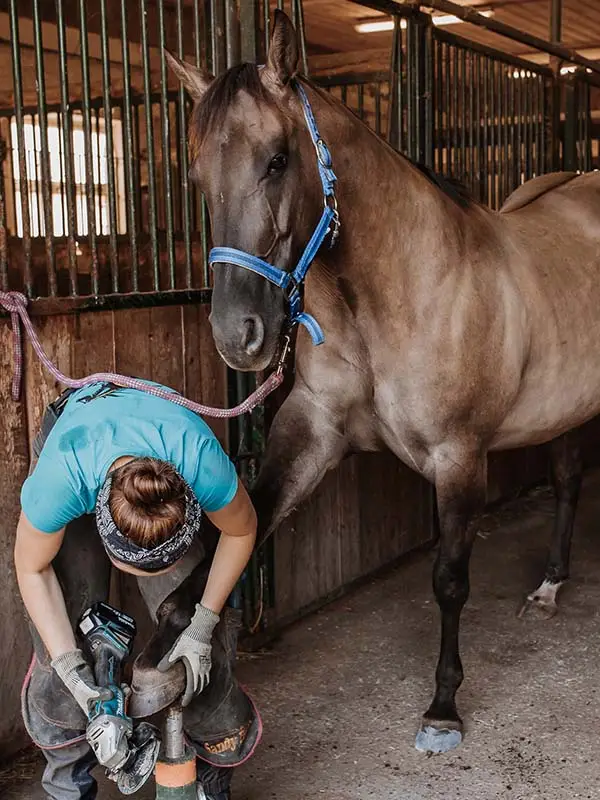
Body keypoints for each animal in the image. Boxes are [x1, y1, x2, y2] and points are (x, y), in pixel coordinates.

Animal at [168, 10, 600, 752]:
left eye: (277, 159)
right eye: (197, 175)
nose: (238, 336)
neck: (402, 290)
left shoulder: (459, 457)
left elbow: (450, 581)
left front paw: (443, 707)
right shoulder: (312, 429)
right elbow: (233, 540)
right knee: (570, 480)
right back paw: (547, 589)